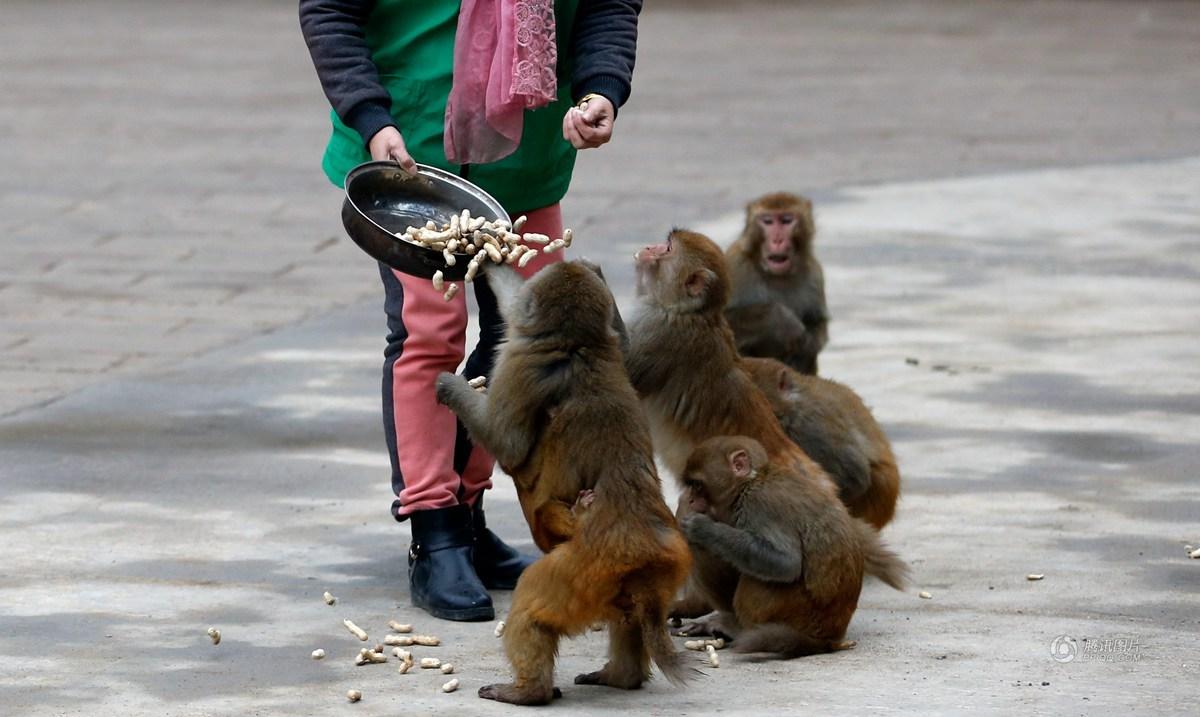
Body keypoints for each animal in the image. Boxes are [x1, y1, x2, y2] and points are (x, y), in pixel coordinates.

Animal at [436, 261, 691, 705]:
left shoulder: (524, 363)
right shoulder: (610, 350)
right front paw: (492, 260)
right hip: (652, 573)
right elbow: (625, 351)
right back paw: (621, 676)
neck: (578, 345)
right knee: (628, 616)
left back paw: (528, 690)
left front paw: (450, 386)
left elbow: (508, 442)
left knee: (532, 604)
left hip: (581, 571)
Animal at [681, 436, 902, 661]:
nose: (690, 499)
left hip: (794, 610)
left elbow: (786, 563)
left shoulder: (761, 504)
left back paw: (736, 627)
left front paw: (703, 529)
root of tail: (829, 637)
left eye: (697, 485)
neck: (752, 481)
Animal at [720, 194, 825, 378]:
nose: (777, 240)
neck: (776, 276)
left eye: (786, 220)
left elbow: (817, 325)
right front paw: (781, 319)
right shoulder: (735, 266)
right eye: (768, 221)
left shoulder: (814, 275)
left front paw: (805, 349)